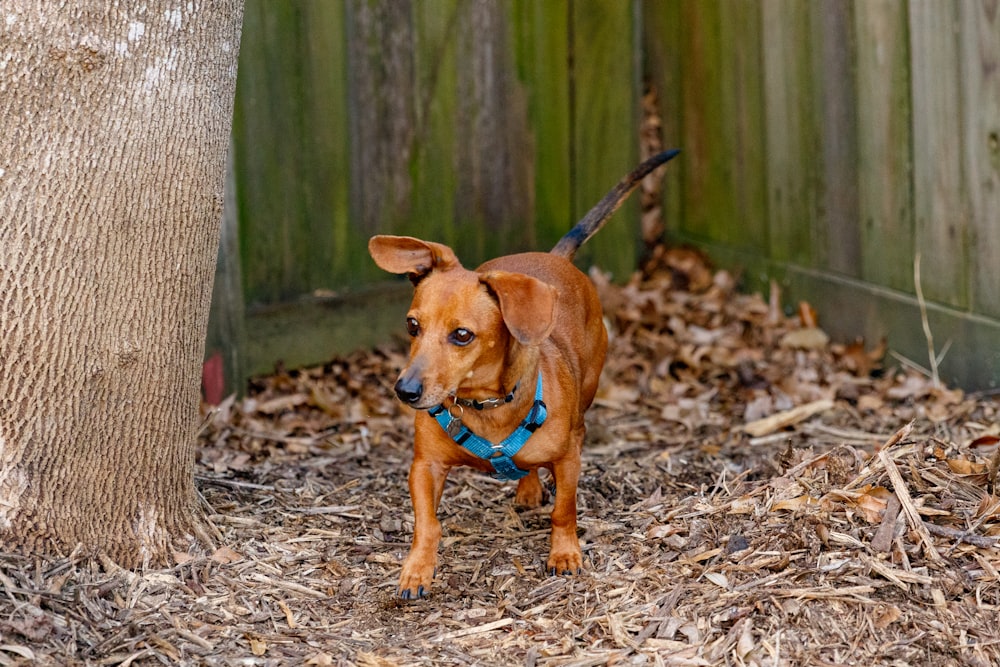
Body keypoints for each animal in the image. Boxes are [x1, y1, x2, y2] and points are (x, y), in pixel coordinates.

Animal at [368, 151, 680, 600]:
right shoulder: (425, 467)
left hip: (586, 397)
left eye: (462, 335)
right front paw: (416, 570)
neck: (486, 406)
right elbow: (427, 523)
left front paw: (564, 554)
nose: (404, 390)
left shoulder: (567, 460)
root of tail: (555, 257)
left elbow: (564, 510)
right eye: (412, 326)